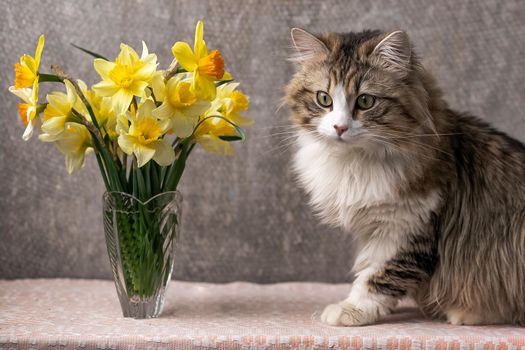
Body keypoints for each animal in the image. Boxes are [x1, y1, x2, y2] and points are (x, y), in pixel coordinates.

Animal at [284, 28, 524, 326]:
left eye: (365, 101)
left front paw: (350, 310)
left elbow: (378, 278)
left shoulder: (406, 228)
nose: (340, 127)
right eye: (324, 99)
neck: (355, 161)